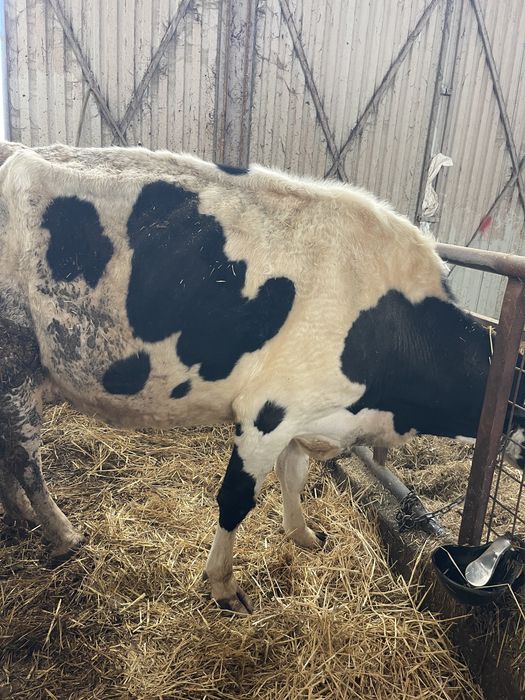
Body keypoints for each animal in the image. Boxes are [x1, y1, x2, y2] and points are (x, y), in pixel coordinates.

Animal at [0, 142, 523, 614]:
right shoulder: (267, 414)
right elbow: (236, 499)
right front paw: (223, 586)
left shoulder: (305, 416)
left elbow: (293, 476)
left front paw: (304, 535)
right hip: (16, 367)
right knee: (25, 462)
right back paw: (62, 533)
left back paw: (20, 519)